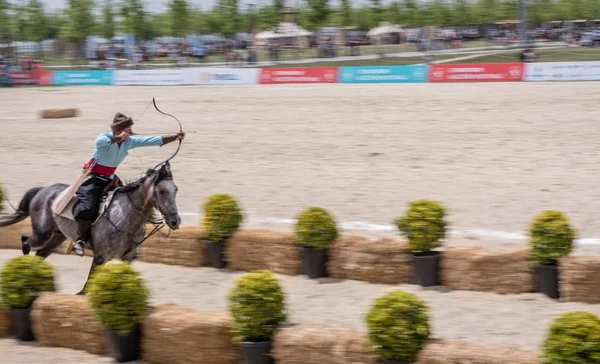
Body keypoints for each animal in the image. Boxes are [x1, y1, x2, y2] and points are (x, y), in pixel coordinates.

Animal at [0, 161, 180, 292]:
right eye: (162, 191)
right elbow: (88, 286)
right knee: (26, 240)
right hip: (42, 233)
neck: (126, 216)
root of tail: (43, 190)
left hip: (58, 235)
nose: (175, 221)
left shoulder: (126, 258)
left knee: (40, 253)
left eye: (176, 190)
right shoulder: (101, 257)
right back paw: (24, 267)